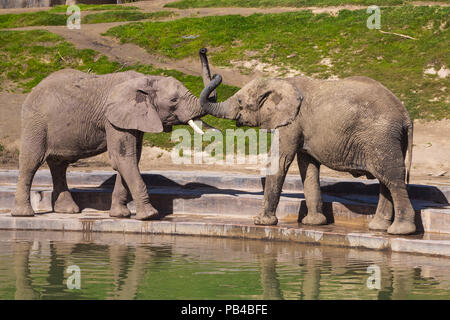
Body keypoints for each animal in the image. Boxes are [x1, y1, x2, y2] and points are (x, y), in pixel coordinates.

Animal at [11, 67, 213, 220]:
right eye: (174, 100)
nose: (203, 50)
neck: (146, 79)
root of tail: (33, 89)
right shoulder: (114, 118)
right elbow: (123, 158)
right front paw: (150, 216)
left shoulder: (133, 118)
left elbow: (130, 158)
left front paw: (120, 215)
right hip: (35, 122)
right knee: (31, 162)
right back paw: (24, 214)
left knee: (59, 164)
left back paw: (68, 211)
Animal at [200, 54, 414, 235]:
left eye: (240, 101)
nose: (203, 50)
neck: (281, 81)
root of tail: (405, 115)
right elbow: (307, 166)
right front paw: (314, 223)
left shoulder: (292, 122)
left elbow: (281, 160)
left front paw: (261, 222)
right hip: (390, 139)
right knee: (385, 180)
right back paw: (378, 227)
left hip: (381, 137)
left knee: (392, 178)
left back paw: (400, 231)